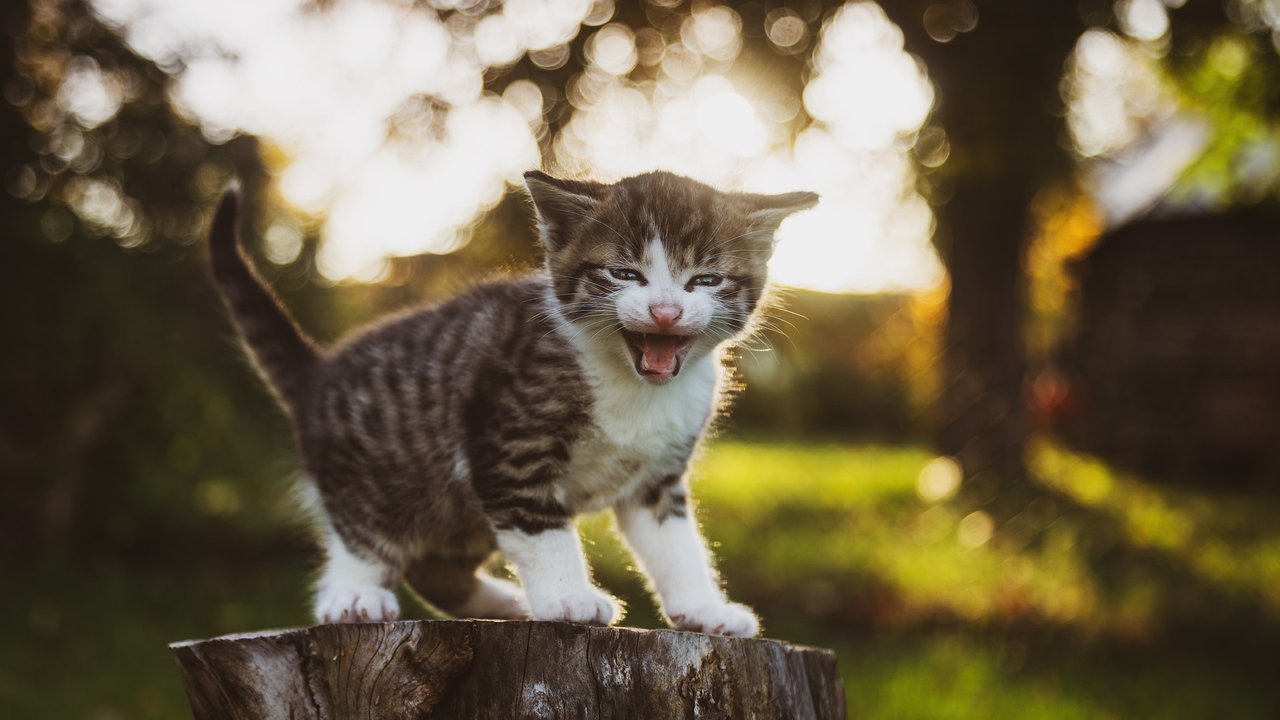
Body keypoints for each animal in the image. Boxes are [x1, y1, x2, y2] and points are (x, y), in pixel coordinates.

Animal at [206, 169, 814, 632]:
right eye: (623, 273)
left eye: (705, 280)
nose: (665, 311)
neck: (633, 385)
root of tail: (319, 373)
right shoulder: (507, 440)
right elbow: (541, 528)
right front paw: (569, 597)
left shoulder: (657, 479)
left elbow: (676, 545)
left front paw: (704, 609)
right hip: (383, 474)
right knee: (363, 533)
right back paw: (351, 596)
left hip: (457, 511)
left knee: (437, 569)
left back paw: (505, 603)